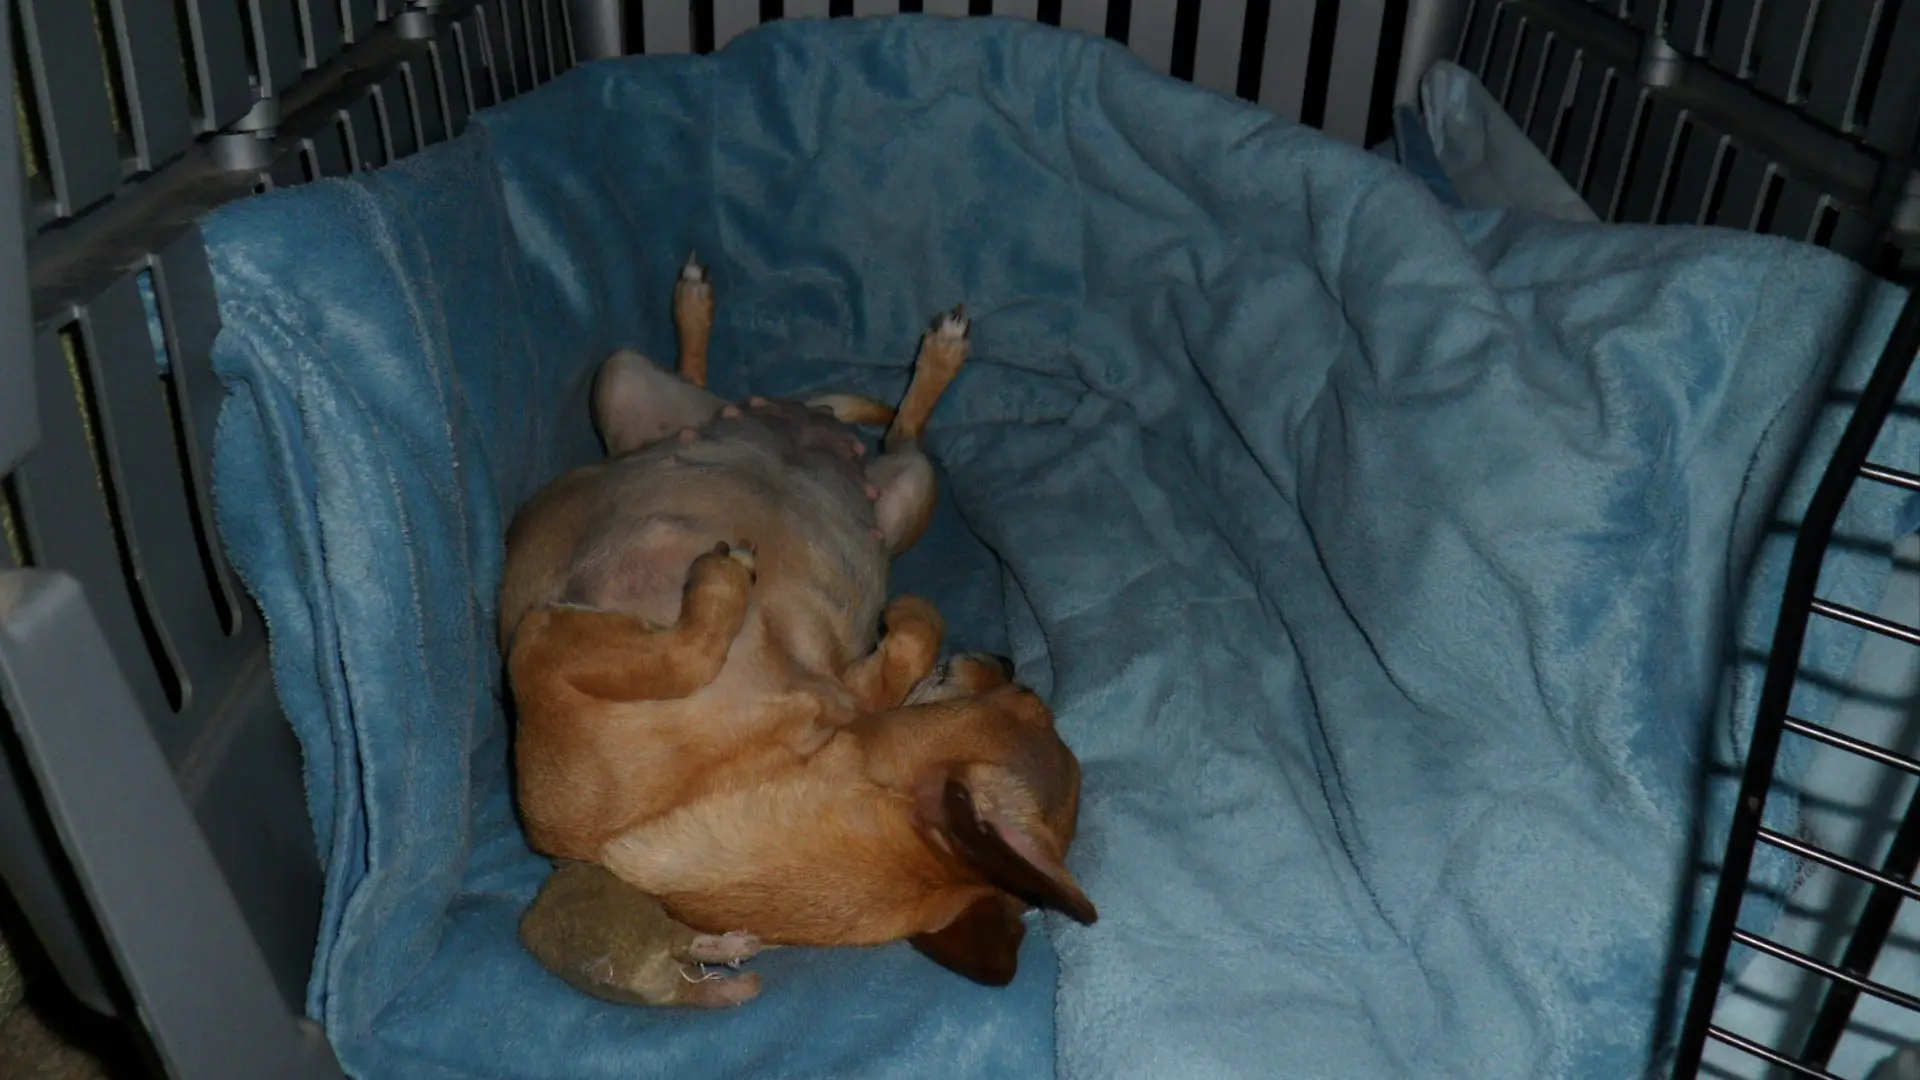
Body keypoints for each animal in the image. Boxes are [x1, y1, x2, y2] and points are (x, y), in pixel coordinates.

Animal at [502, 257, 1094, 1005]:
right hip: (621, 376)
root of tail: (798, 415)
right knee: (726, 393)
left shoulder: (540, 652)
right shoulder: (541, 656)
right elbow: (907, 638)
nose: (1011, 661)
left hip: (910, 491)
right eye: (1031, 703)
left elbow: (901, 637)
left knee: (904, 434)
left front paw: (739, 584)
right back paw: (698, 308)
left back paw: (936, 354)